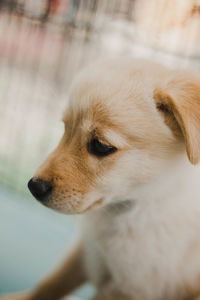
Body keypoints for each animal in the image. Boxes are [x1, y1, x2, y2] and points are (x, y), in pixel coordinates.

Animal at [3, 58, 200, 300]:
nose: (34, 187)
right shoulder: (85, 251)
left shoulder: (128, 288)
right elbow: (49, 284)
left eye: (101, 146)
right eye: (65, 129)